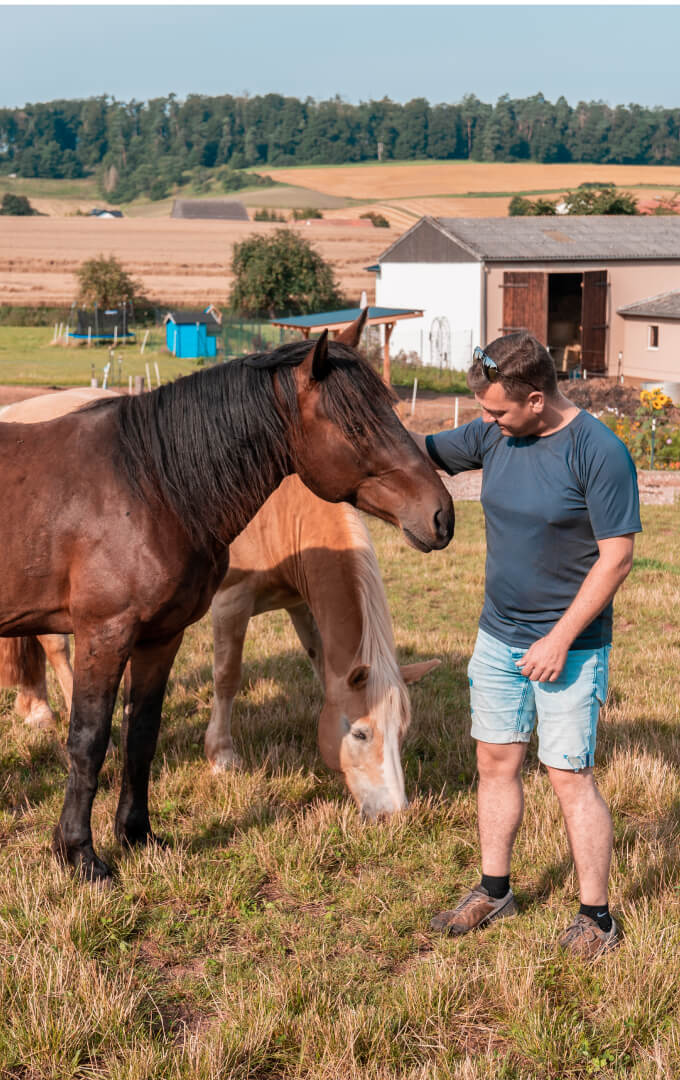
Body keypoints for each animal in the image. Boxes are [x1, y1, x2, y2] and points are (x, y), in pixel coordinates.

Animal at [0, 311, 454, 880]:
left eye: (403, 730)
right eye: (361, 734)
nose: (441, 515)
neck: (155, 483)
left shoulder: (168, 633)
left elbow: (142, 733)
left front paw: (137, 835)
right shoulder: (121, 629)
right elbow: (94, 737)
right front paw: (80, 854)